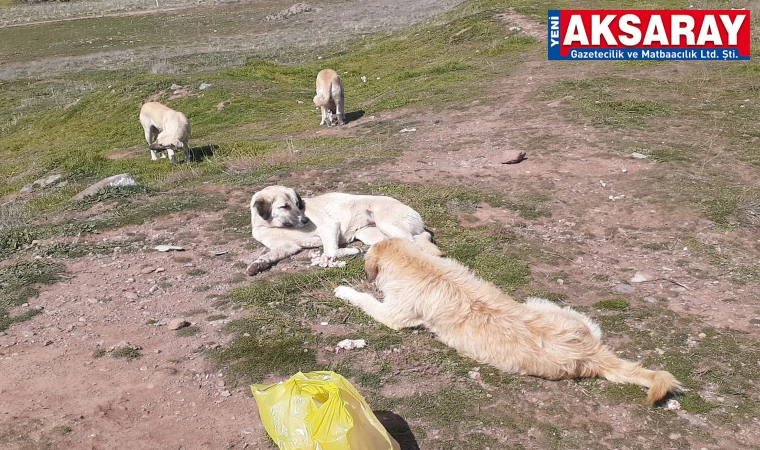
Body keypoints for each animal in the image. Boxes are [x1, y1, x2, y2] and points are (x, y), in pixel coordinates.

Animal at [246, 185, 440, 276]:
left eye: (297, 204)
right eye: (284, 206)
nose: (305, 220)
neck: (272, 226)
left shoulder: (329, 226)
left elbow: (331, 251)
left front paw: (351, 251)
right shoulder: (288, 246)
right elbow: (269, 255)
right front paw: (258, 264)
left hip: (387, 223)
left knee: (416, 242)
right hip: (371, 234)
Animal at [336, 239, 684, 404]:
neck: (420, 265)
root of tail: (590, 353)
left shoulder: (393, 315)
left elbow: (366, 300)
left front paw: (345, 290)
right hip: (555, 310)